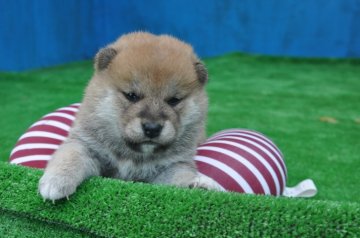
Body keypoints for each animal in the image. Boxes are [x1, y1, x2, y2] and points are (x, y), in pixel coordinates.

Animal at [38, 31, 219, 201]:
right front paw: (56, 180)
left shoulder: (171, 165)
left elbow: (182, 175)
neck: (132, 156)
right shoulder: (87, 146)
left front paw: (198, 184)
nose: (152, 128)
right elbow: (71, 155)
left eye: (173, 100)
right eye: (132, 96)